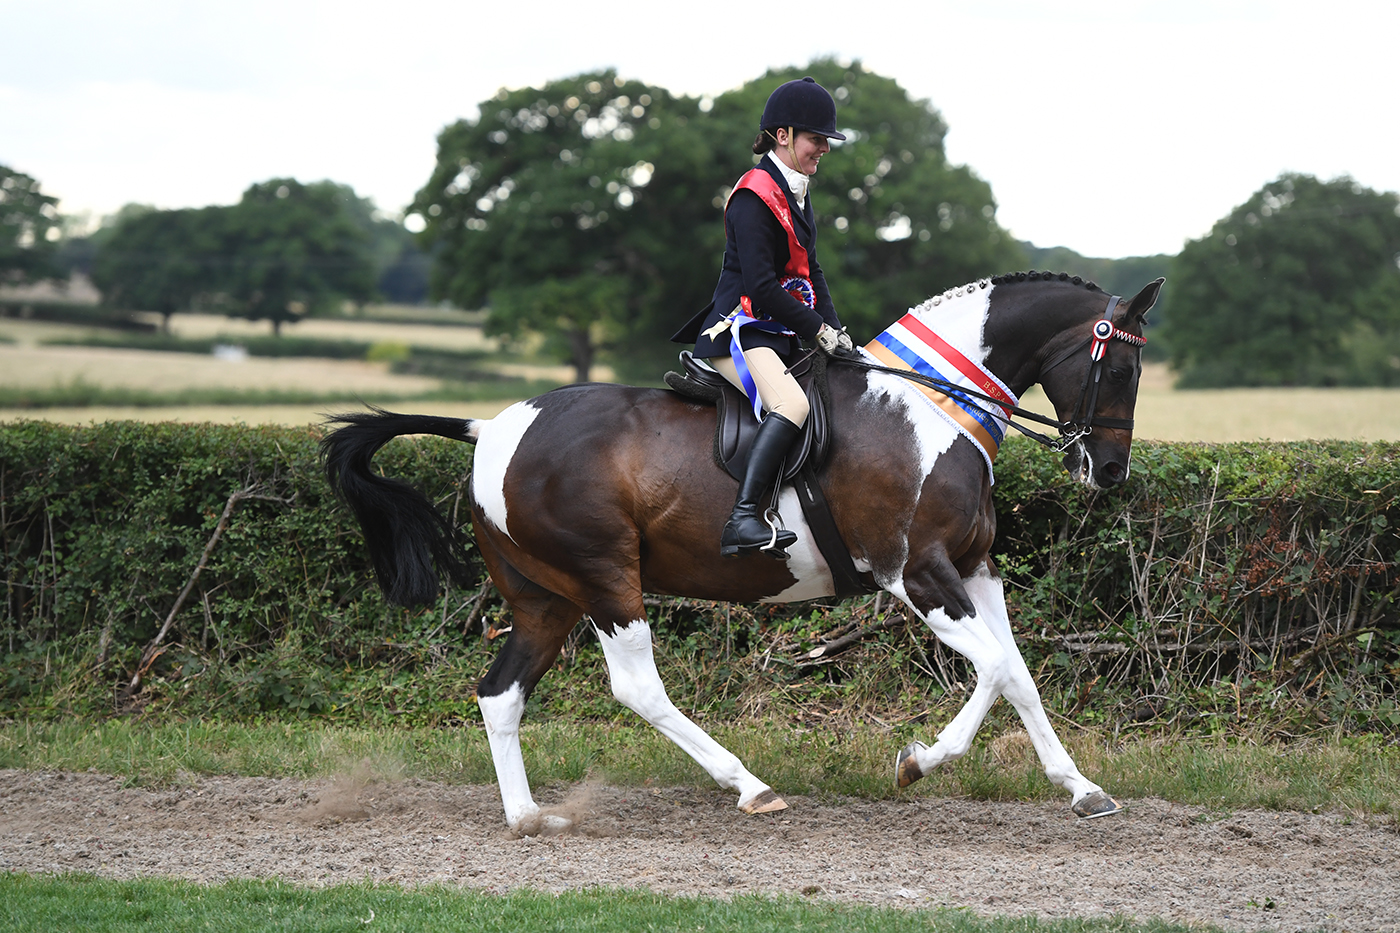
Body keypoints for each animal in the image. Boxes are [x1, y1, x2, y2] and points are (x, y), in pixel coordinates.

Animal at [323, 272, 1163, 833]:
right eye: (1122, 368)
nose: (1108, 471)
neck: (928, 405)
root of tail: (491, 428)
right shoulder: (917, 572)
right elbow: (992, 669)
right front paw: (917, 761)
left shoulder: (974, 569)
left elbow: (1019, 674)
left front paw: (1080, 787)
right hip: (604, 578)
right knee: (637, 688)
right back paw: (748, 784)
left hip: (546, 596)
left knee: (500, 692)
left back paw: (530, 816)